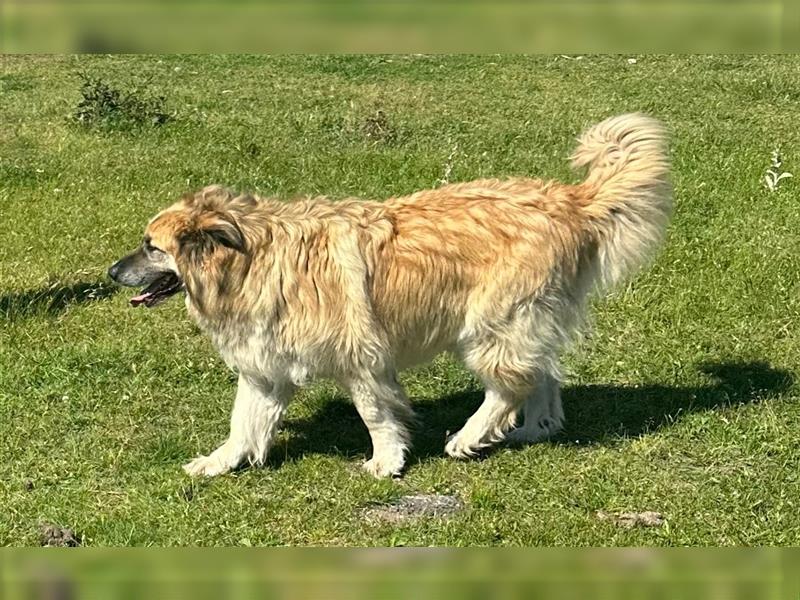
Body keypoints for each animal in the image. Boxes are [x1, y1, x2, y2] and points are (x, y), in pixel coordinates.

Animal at [106, 112, 668, 478]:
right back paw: (536, 428)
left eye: (150, 246)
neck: (251, 260)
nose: (111, 272)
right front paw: (219, 463)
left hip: (491, 325)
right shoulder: (264, 368)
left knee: (508, 386)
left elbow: (376, 415)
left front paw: (385, 462)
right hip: (526, 323)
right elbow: (244, 423)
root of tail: (571, 200)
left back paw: (470, 437)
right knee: (541, 374)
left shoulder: (361, 359)